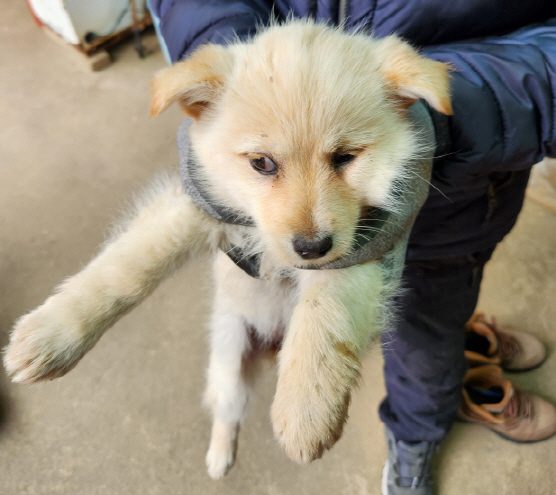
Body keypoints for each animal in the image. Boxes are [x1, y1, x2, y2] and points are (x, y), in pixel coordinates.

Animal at [3, 21, 452, 478]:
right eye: (262, 163)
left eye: (345, 157)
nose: (311, 248)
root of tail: (269, 342)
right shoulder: (198, 206)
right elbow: (126, 268)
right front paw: (51, 335)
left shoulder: (363, 246)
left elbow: (325, 312)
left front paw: (307, 409)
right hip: (229, 361)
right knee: (227, 411)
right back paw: (219, 458)